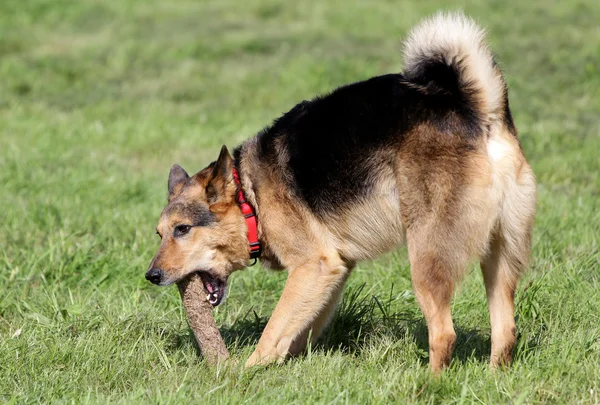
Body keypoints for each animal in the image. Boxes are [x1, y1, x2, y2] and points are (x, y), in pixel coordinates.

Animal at [145, 11, 536, 372]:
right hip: (500, 254)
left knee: (444, 333)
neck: (249, 197)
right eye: (160, 234)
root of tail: (476, 109)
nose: (151, 276)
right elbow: (297, 330)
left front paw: (246, 371)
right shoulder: (334, 269)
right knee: (506, 330)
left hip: (426, 255)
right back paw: (491, 379)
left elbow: (273, 330)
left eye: (183, 230)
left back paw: (429, 382)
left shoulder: (313, 266)